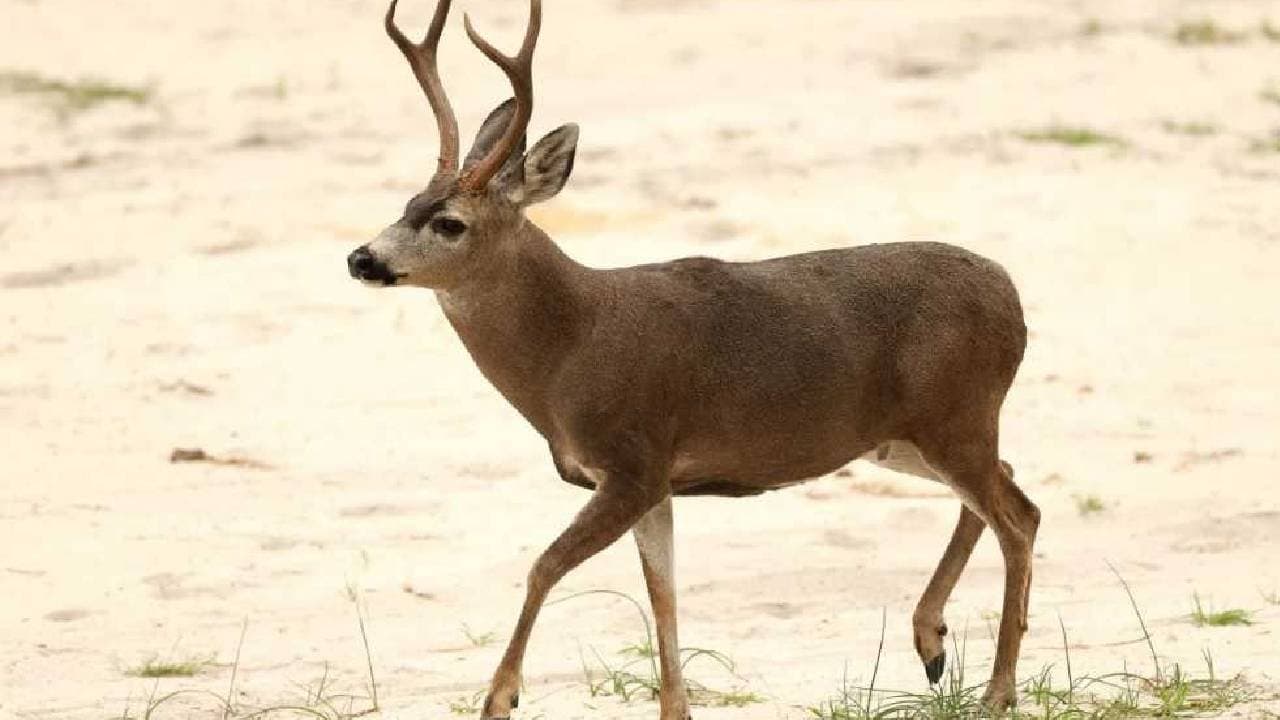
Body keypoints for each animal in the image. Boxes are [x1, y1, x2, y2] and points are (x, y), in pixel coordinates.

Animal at [345, 0, 1039, 717]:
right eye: (406, 205)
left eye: (449, 223)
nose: (362, 258)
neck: (571, 346)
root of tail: (1012, 296)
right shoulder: (654, 484)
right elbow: (663, 598)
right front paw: (673, 707)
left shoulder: (635, 460)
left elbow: (546, 566)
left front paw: (500, 697)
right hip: (904, 438)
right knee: (1014, 487)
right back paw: (932, 643)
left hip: (955, 417)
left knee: (1018, 519)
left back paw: (996, 691)